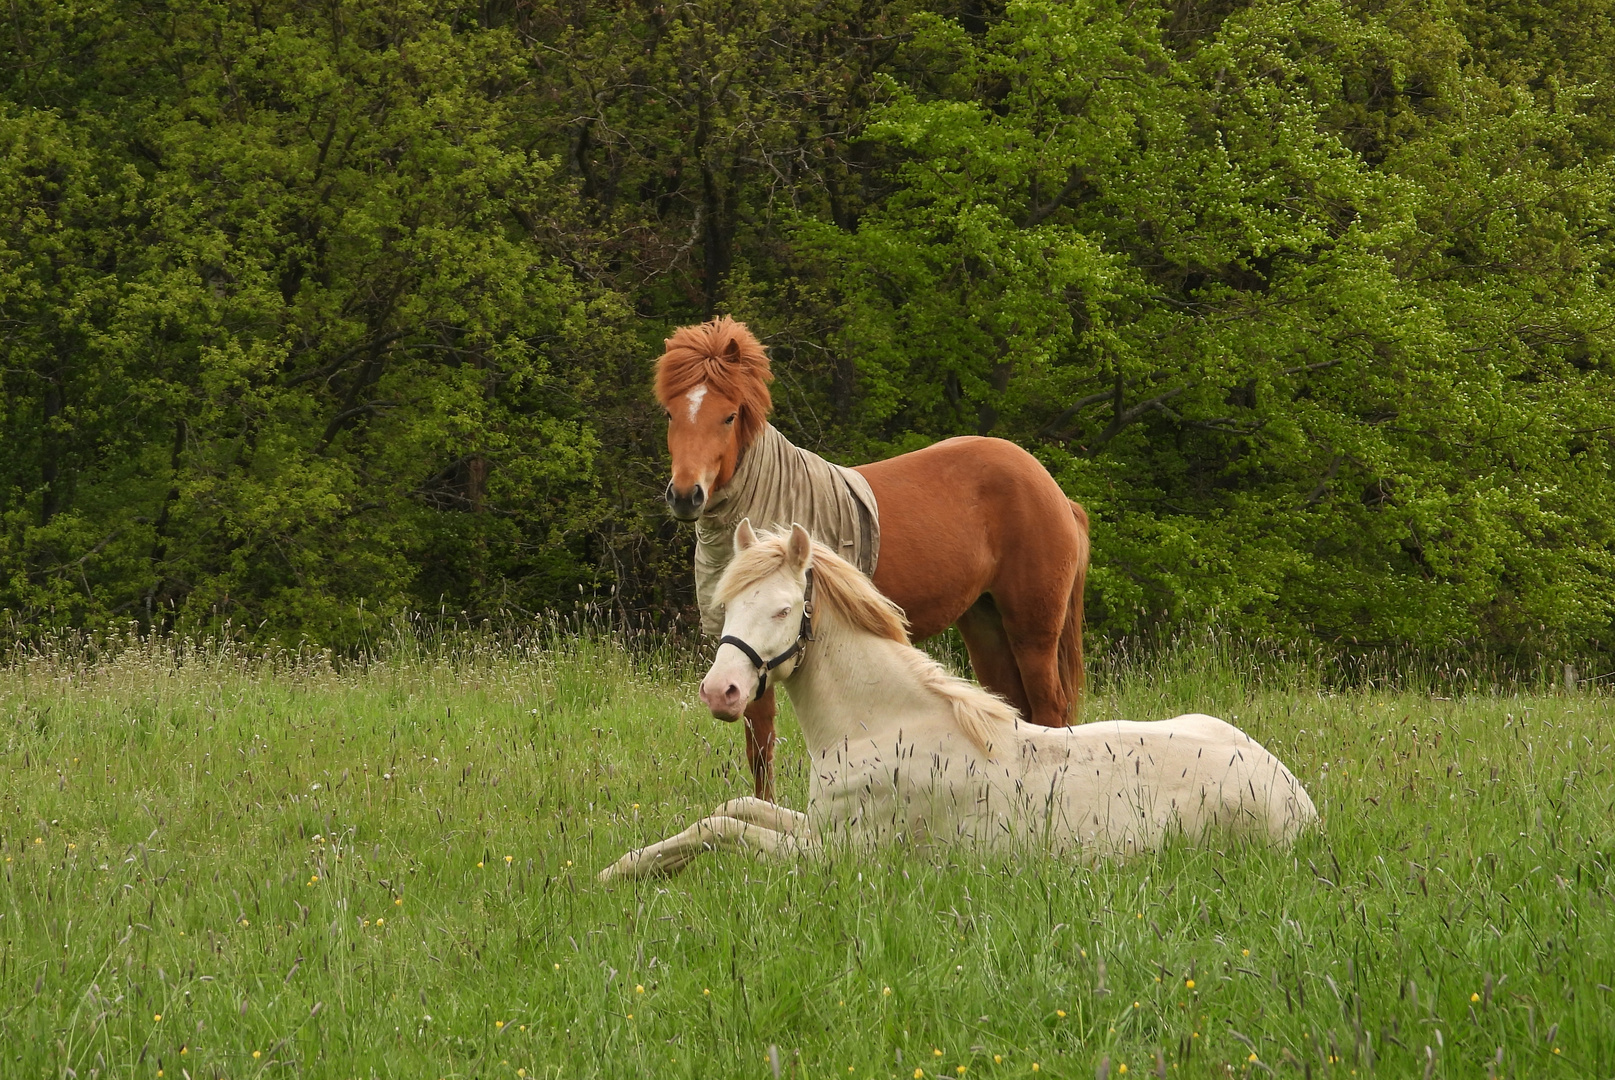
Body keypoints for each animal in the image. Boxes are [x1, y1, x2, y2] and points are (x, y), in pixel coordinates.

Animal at [600, 523, 1317, 884]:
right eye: (726, 604)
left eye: (780, 608)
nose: (719, 692)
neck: (880, 724)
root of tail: (1300, 802)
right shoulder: (816, 825)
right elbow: (731, 810)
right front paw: (630, 868)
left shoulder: (837, 855)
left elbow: (730, 830)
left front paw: (626, 873)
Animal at [649, 316, 1091, 797]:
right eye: (671, 413)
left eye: (728, 416)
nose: (685, 495)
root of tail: (1054, 491)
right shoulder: (747, 653)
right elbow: (759, 751)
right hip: (985, 624)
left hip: (1034, 630)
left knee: (1050, 711)